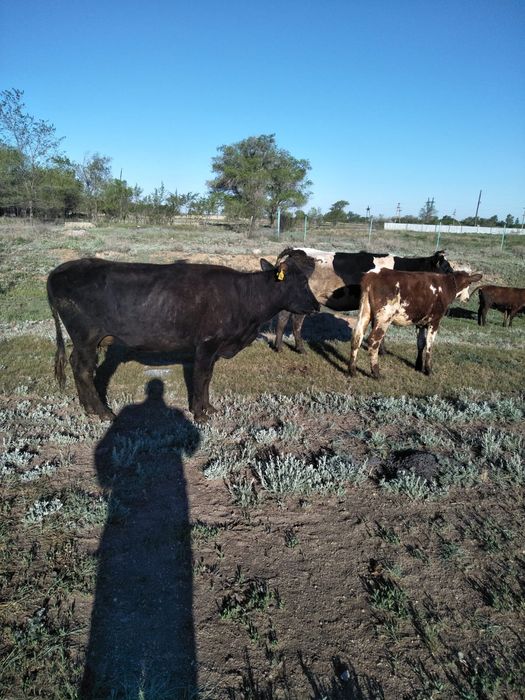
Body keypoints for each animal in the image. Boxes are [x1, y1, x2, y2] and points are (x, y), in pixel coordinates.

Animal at [47, 256, 319, 422]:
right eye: (302, 282)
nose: (317, 306)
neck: (244, 297)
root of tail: (60, 269)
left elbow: (207, 378)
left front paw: (209, 408)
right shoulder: (207, 344)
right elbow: (201, 377)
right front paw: (200, 414)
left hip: (83, 341)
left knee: (76, 365)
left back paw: (87, 408)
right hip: (87, 336)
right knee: (83, 370)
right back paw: (103, 412)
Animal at [268, 247, 455, 353]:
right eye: (446, 268)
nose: (454, 282)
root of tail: (295, 251)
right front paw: (381, 350)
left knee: (286, 318)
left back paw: (282, 347)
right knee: (293, 320)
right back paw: (295, 348)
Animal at [348, 269, 482, 378]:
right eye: (469, 284)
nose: (467, 299)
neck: (445, 286)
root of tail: (372, 275)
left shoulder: (421, 322)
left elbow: (420, 343)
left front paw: (418, 365)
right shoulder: (435, 320)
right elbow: (429, 344)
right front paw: (428, 370)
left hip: (365, 312)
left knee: (357, 336)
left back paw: (352, 371)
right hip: (384, 317)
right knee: (373, 340)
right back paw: (376, 373)